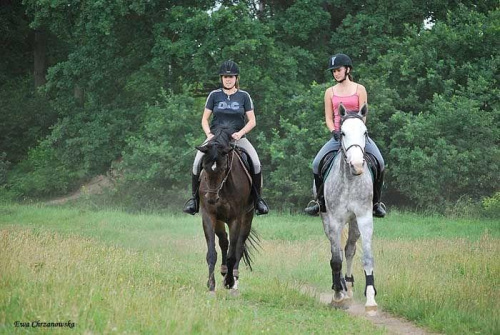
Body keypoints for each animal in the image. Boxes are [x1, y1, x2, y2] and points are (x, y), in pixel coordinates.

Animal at [194, 124, 260, 292]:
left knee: (239, 245)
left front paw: (230, 281)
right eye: (204, 167)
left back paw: (233, 277)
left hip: (247, 217)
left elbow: (233, 253)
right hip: (219, 220)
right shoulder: (209, 215)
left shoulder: (235, 219)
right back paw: (224, 271)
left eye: (224, 168)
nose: (211, 199)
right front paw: (211, 284)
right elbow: (212, 252)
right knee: (224, 241)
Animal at [322, 103, 376, 316]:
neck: (350, 180)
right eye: (342, 133)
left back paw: (350, 287)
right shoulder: (334, 220)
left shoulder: (364, 218)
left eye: (365, 132)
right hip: (326, 221)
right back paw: (340, 289)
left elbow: (367, 258)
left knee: (350, 249)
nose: (357, 165)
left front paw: (371, 301)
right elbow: (336, 260)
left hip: (353, 223)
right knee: (336, 251)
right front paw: (338, 297)